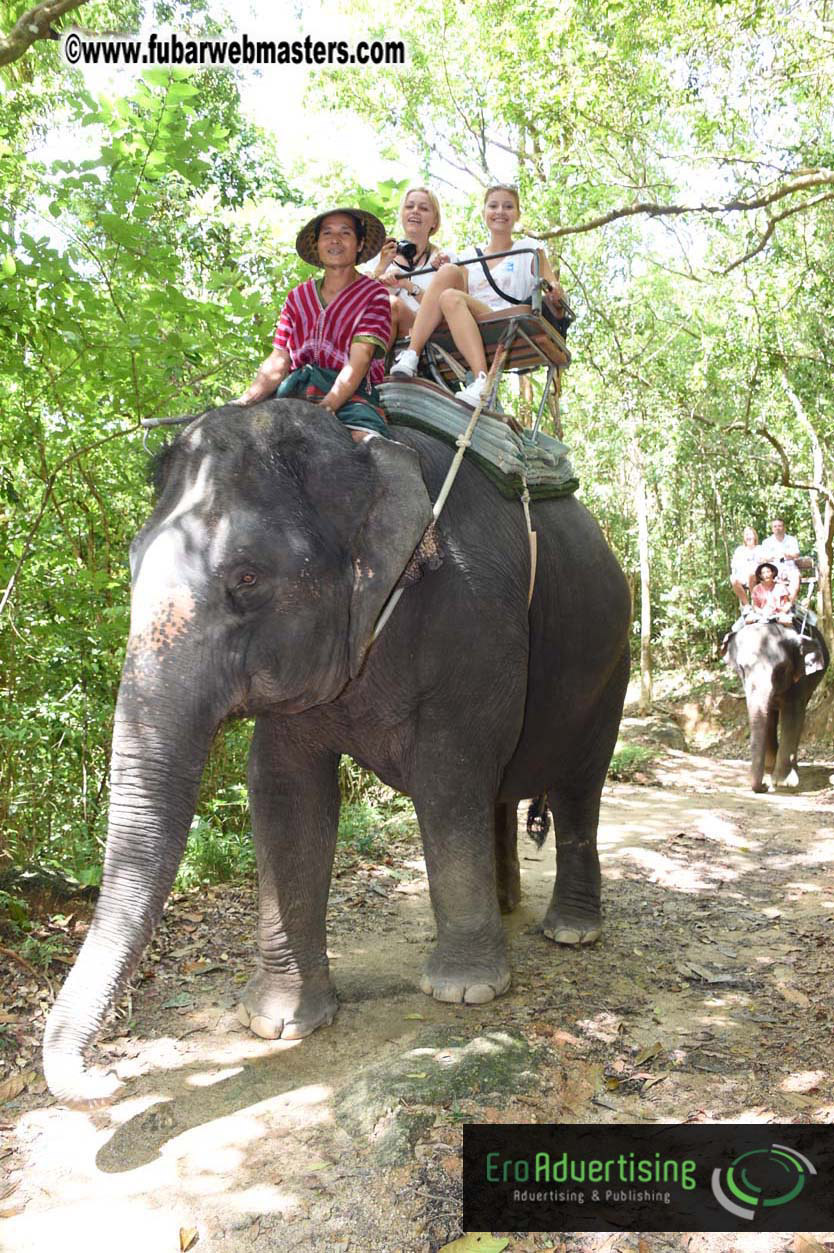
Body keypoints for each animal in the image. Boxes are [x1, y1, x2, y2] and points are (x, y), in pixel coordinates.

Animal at [43, 400, 631, 1108]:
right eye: (130, 562)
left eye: (247, 578)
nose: (107, 1075)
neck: (364, 451)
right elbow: (284, 793)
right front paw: (277, 1023)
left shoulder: (477, 622)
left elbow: (449, 778)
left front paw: (465, 992)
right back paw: (508, 906)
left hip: (613, 659)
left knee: (579, 789)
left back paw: (570, 931)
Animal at [725, 619, 829, 792]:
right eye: (742, 669)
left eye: (781, 669)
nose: (764, 786)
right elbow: (767, 718)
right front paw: (769, 773)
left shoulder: (800, 679)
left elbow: (792, 714)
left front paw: (783, 782)